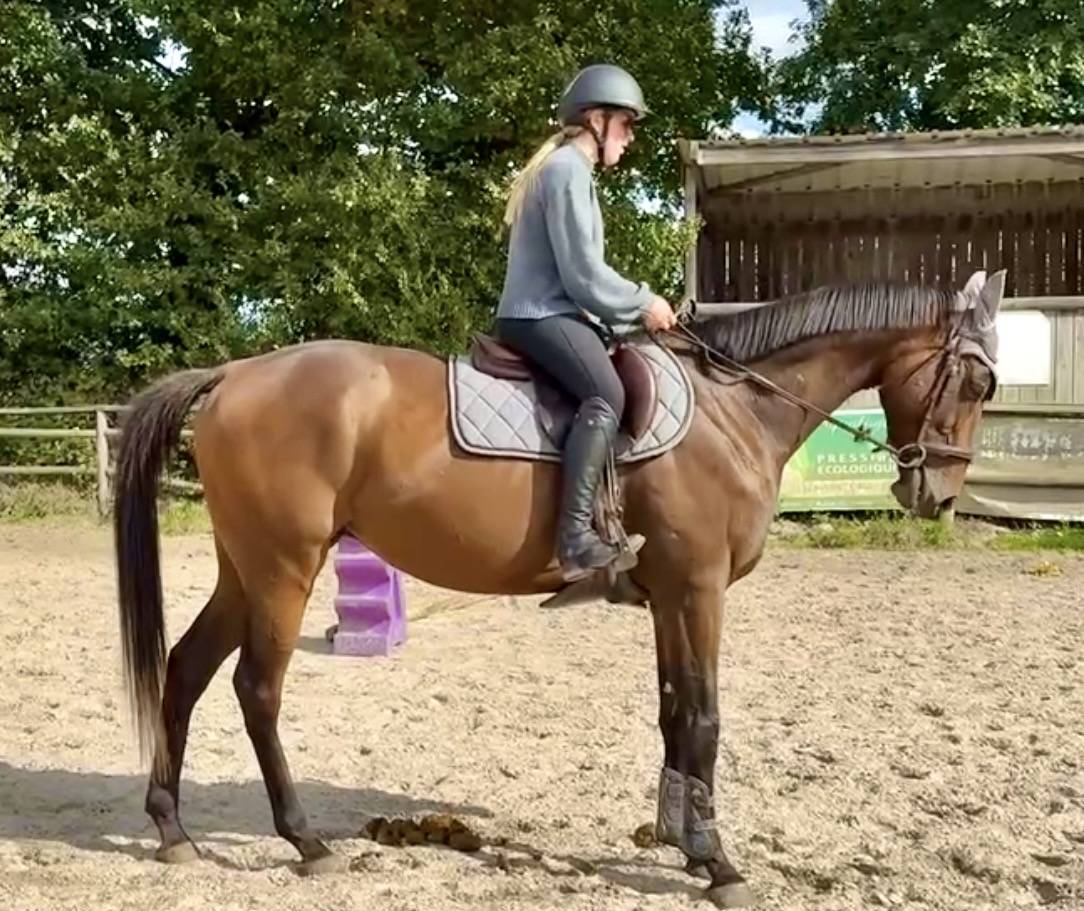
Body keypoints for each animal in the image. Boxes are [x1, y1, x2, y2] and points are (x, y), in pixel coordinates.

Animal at [113, 269, 1004, 908]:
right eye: (978, 383)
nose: (936, 496)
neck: (733, 409)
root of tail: (235, 374)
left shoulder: (669, 594)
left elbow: (674, 710)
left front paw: (675, 837)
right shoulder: (700, 588)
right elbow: (706, 716)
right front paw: (717, 862)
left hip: (246, 568)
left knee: (185, 670)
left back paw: (171, 827)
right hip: (284, 568)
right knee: (256, 689)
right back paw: (304, 839)